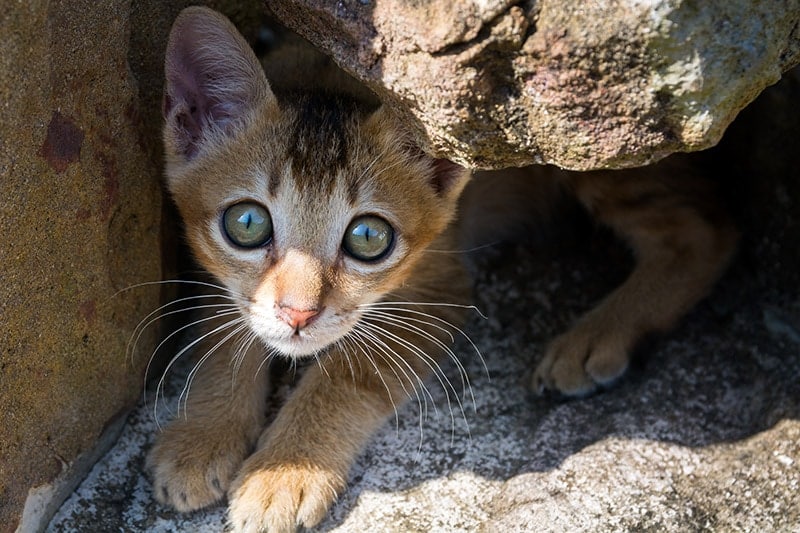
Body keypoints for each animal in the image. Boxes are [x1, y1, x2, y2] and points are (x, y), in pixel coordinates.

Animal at [146, 5, 468, 532]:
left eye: (369, 237)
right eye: (247, 223)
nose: (298, 314)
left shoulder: (440, 286)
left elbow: (349, 371)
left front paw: (285, 471)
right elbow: (226, 328)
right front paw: (204, 435)